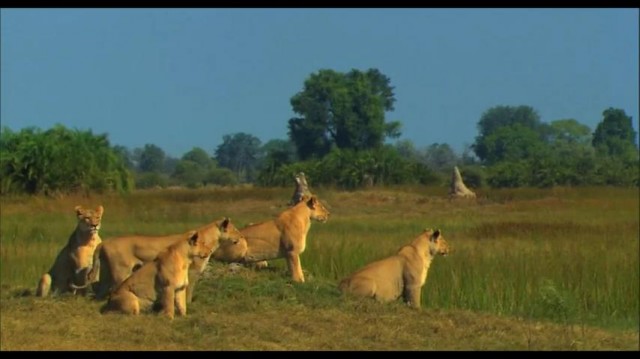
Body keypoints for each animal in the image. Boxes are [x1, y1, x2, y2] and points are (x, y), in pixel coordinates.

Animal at [87, 217, 242, 304]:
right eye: (235, 229)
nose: (241, 237)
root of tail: (104, 242)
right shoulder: (192, 272)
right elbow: (189, 290)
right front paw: (188, 304)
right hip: (121, 272)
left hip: (106, 273)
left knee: (99, 291)